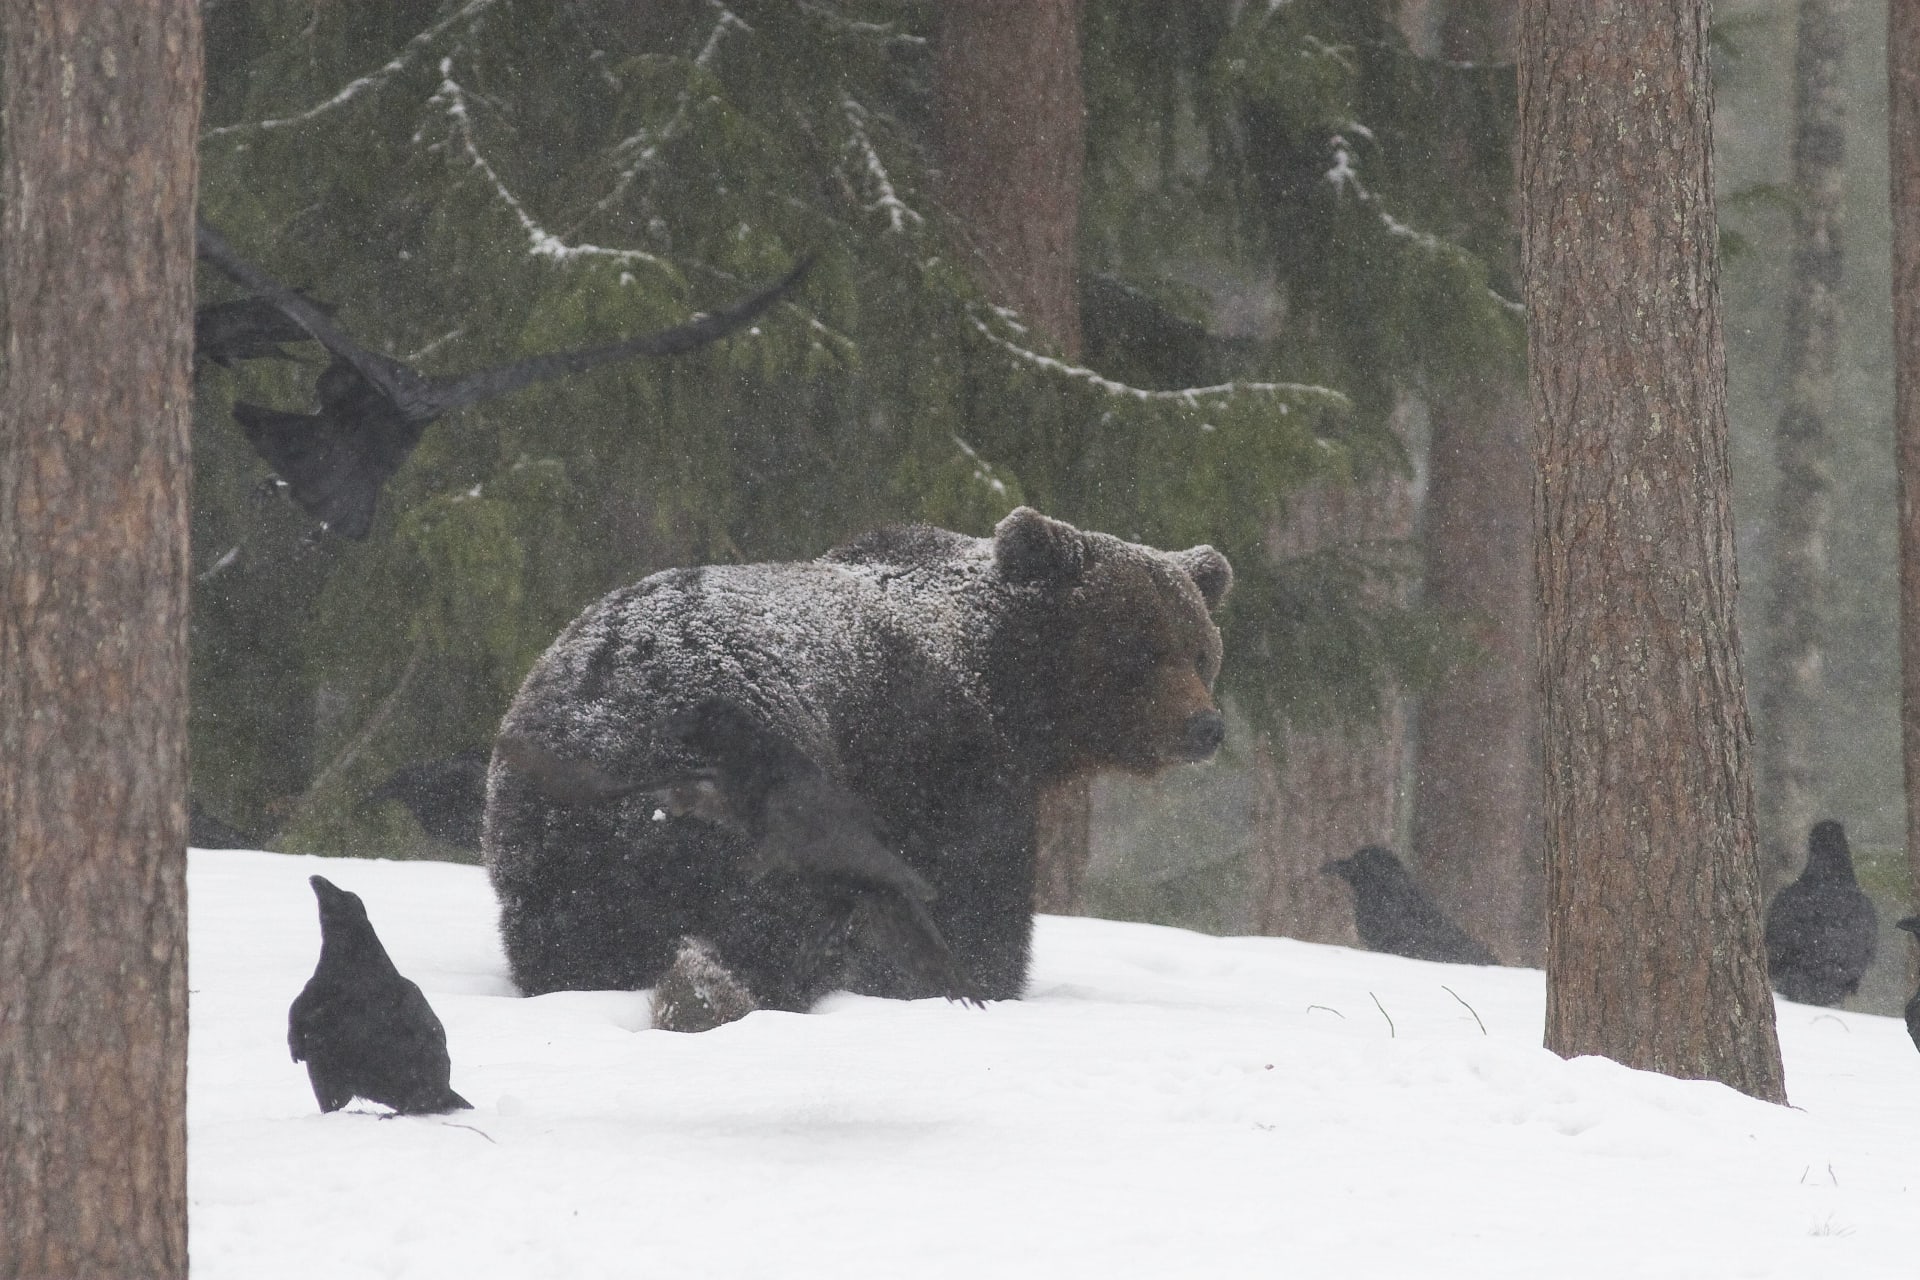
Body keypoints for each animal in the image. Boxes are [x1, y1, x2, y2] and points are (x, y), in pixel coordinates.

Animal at [482, 506, 1232, 1018]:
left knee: (570, 932)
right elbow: (969, 893)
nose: (1205, 727)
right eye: (1140, 649)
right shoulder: (939, 760)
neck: (1004, 689)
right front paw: (972, 982)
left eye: (1199, 650)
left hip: (546, 825)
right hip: (765, 779)